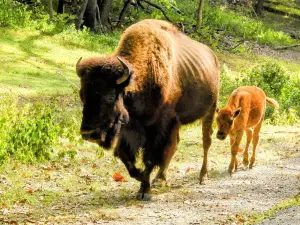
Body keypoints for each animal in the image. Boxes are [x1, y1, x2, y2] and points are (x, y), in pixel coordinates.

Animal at [76, 18, 219, 200]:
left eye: (110, 96)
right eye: (82, 95)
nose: (88, 134)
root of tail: (213, 57)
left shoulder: (158, 127)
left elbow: (150, 158)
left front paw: (145, 190)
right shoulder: (128, 128)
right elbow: (125, 156)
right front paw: (141, 178)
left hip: (209, 110)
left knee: (206, 141)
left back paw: (203, 176)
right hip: (177, 122)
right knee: (174, 145)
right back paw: (160, 179)